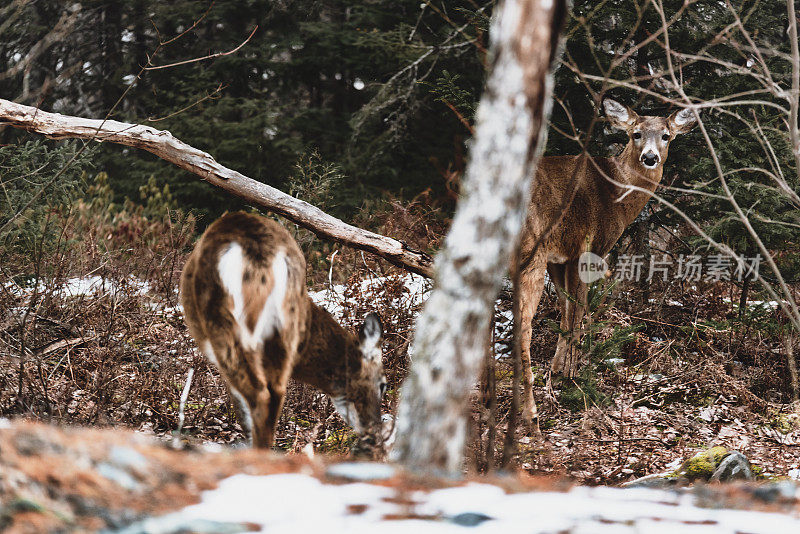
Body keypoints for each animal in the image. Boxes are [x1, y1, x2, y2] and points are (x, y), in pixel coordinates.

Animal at [181, 213, 388, 452]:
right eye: (383, 385)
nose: (374, 434)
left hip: (222, 323)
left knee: (259, 395)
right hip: (284, 323)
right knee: (276, 392)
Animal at [516, 96, 696, 422]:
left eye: (666, 136)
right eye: (636, 134)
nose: (650, 157)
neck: (617, 191)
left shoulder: (559, 257)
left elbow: (565, 310)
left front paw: (558, 372)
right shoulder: (586, 249)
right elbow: (577, 312)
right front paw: (569, 375)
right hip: (530, 252)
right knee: (523, 325)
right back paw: (530, 412)